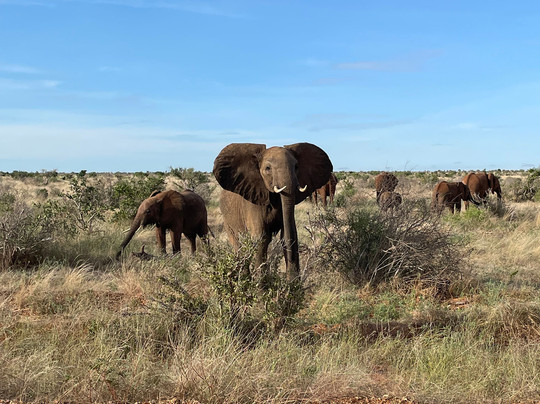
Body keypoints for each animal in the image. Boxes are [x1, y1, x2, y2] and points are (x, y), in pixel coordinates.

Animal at [213, 142, 333, 279]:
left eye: (296, 167)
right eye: (268, 168)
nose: (290, 278)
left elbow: (290, 235)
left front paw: (293, 284)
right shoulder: (253, 202)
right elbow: (261, 238)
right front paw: (262, 285)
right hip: (228, 221)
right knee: (239, 246)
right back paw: (245, 279)